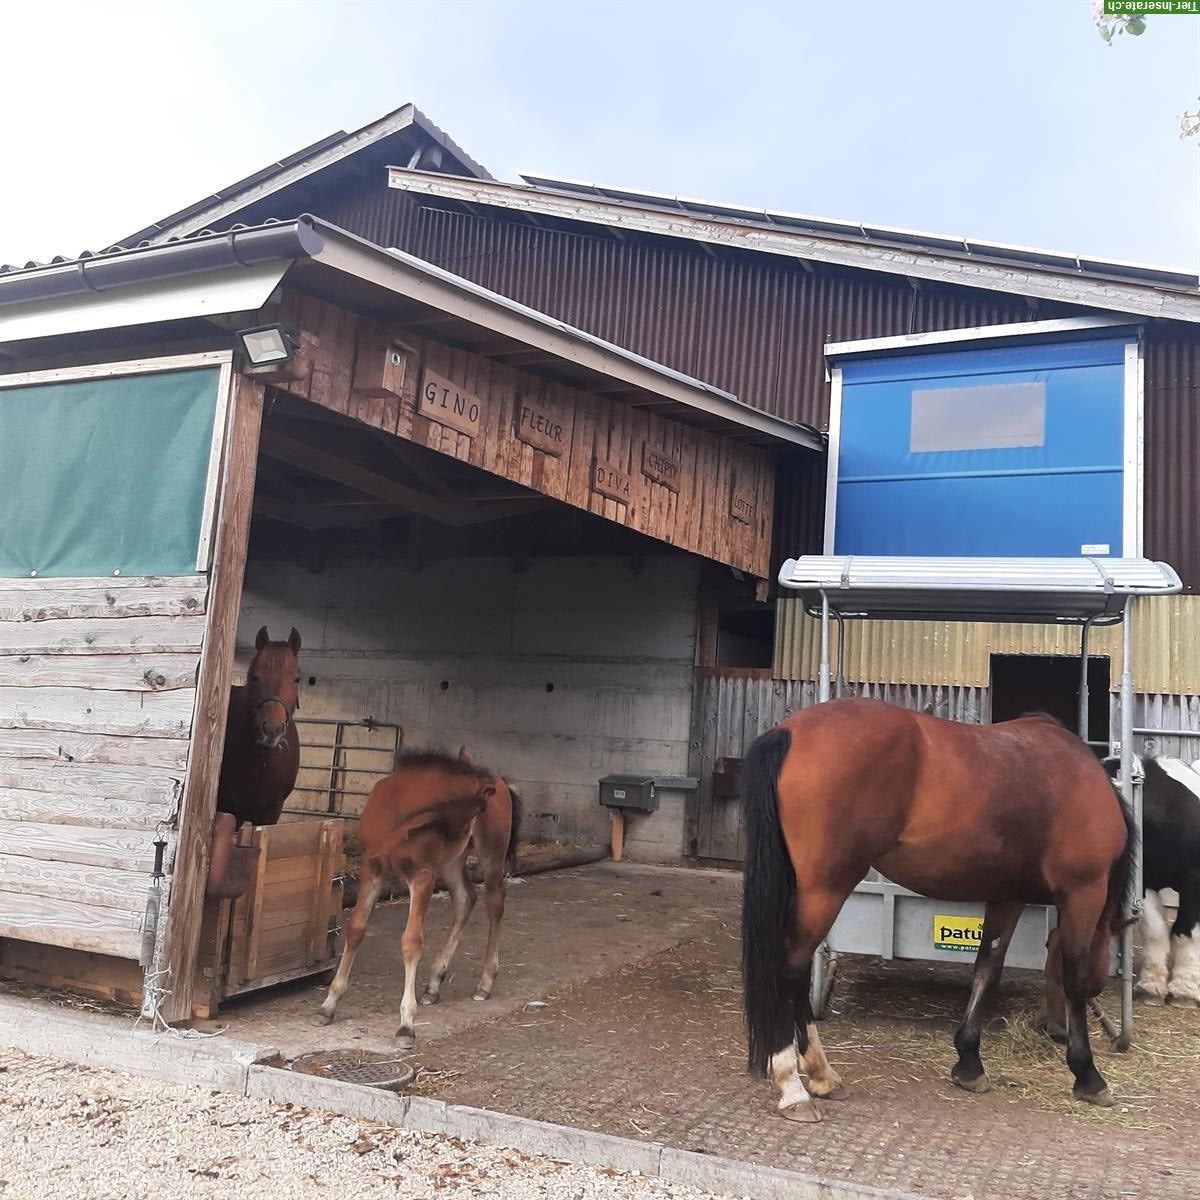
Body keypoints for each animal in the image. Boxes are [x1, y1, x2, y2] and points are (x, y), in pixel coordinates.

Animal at [319, 744, 520, 1046]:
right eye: (479, 806)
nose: (459, 835)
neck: (401, 814)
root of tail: (503, 781)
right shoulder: (372, 870)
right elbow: (355, 930)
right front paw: (329, 1005)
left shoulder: (422, 876)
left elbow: (411, 942)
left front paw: (406, 1024)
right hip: (451, 862)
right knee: (465, 898)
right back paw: (434, 984)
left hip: (489, 855)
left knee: (494, 902)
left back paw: (484, 983)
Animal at [739, 700, 1132, 1118]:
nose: (1053, 1030)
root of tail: (790, 731)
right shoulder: (1083, 893)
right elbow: (1074, 979)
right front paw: (1088, 1075)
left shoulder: (1008, 897)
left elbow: (987, 969)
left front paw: (969, 1062)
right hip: (824, 890)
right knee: (791, 970)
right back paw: (794, 1087)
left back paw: (822, 1075)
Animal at [1104, 753, 1200, 1008]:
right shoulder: (1144, 881)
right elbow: (1154, 930)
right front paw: (1151, 987)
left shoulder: (1195, 882)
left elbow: (1186, 931)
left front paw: (1184, 991)